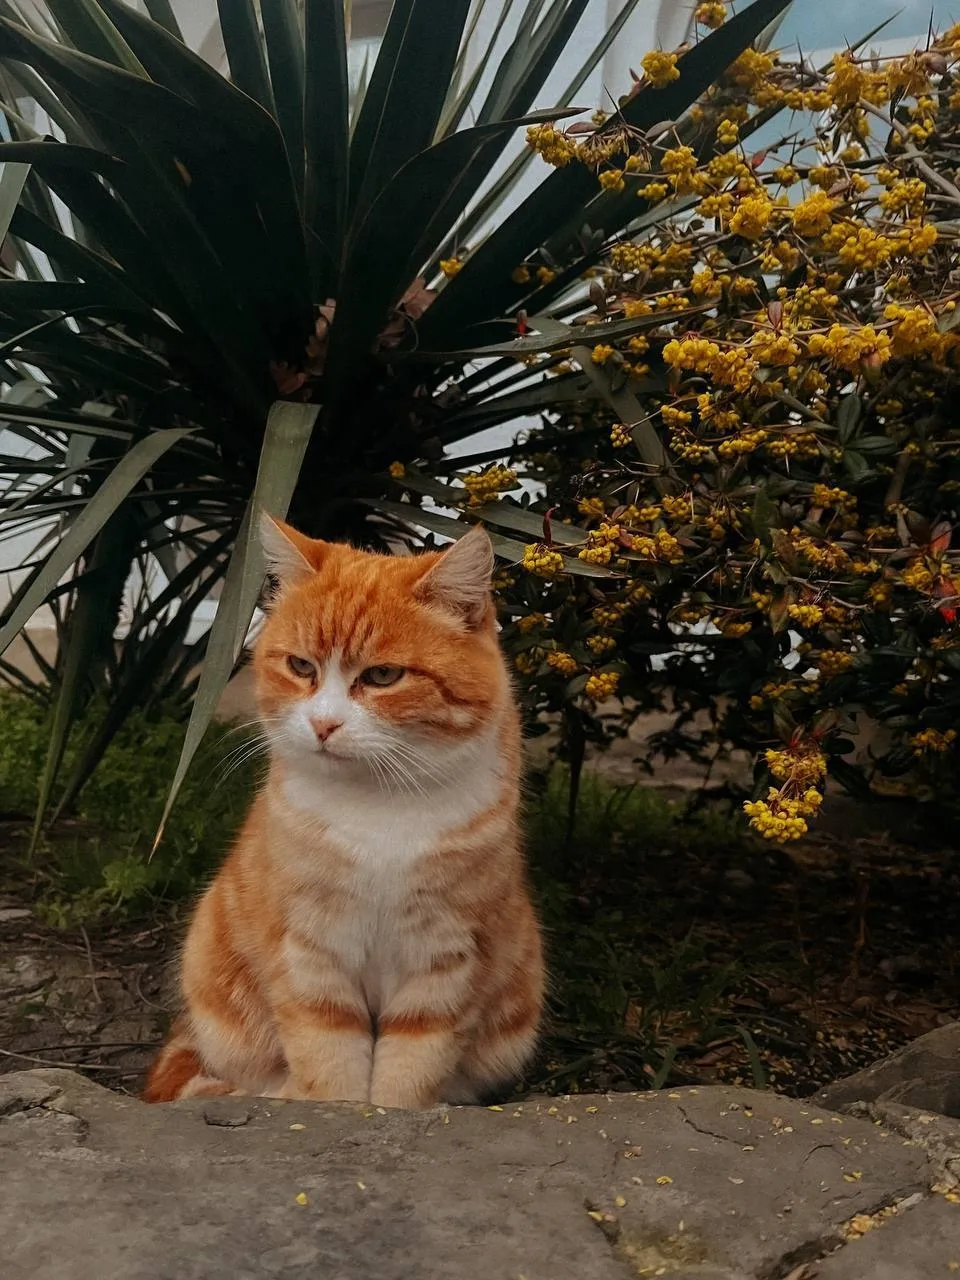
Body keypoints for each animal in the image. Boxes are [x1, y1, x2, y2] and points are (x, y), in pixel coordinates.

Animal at [143, 515, 544, 1108]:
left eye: (382, 677)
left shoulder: (446, 956)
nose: (323, 724)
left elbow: (411, 1066)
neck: (378, 808)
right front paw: (334, 1109)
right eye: (300, 666)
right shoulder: (308, 948)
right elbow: (329, 1054)